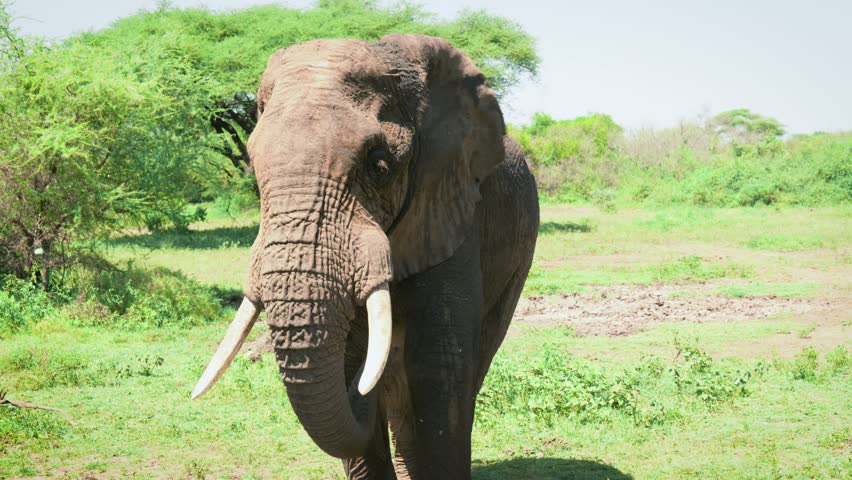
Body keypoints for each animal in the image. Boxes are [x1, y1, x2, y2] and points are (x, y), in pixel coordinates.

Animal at [192, 34, 539, 479]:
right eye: (253, 168)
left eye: (379, 166)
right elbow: (347, 363)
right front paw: (358, 369)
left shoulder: (454, 205)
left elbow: (440, 368)